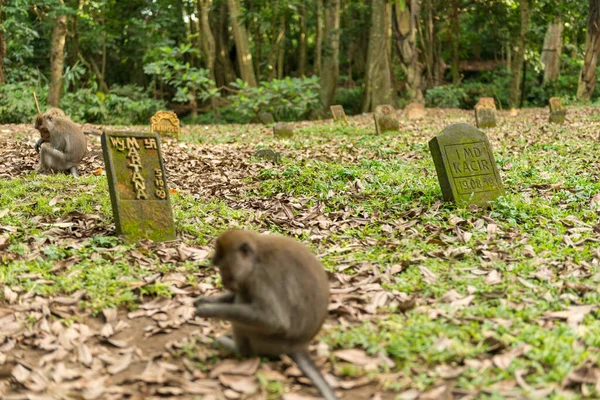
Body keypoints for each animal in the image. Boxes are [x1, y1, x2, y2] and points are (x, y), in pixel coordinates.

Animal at [196, 228, 338, 400]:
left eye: (223, 268)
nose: (224, 281)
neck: (256, 258)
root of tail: (299, 345)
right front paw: (204, 300)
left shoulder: (260, 279)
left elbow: (273, 321)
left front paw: (208, 310)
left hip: (268, 341)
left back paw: (238, 349)